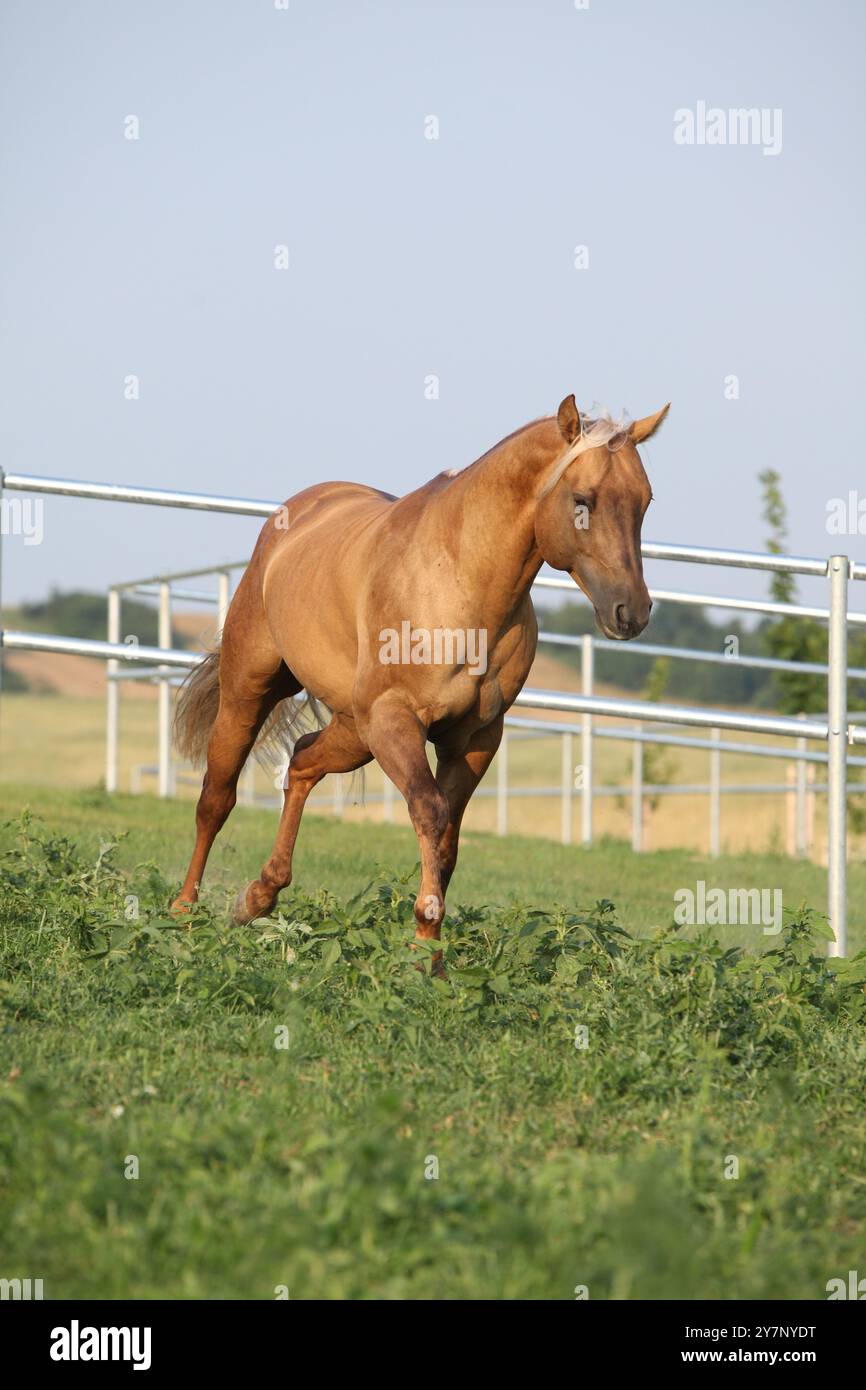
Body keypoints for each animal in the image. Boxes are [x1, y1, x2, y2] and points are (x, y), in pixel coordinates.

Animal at [171, 394, 669, 968]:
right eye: (582, 499)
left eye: (646, 502)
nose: (631, 612)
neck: (460, 583)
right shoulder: (396, 722)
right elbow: (430, 813)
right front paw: (422, 948)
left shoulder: (474, 739)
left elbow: (448, 842)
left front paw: (431, 955)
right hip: (252, 695)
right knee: (216, 798)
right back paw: (184, 911)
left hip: (354, 733)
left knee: (301, 761)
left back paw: (259, 896)